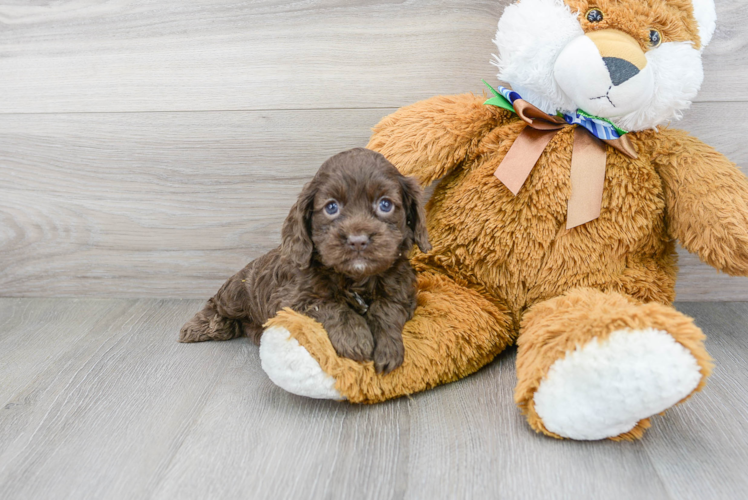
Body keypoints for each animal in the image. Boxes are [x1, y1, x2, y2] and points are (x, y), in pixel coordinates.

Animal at [178, 146, 430, 374]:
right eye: (331, 207)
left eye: (385, 204)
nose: (357, 241)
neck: (354, 277)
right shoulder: (291, 298)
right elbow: (330, 305)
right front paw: (355, 338)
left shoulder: (402, 289)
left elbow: (387, 308)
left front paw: (387, 348)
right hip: (237, 293)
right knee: (216, 303)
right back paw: (198, 328)